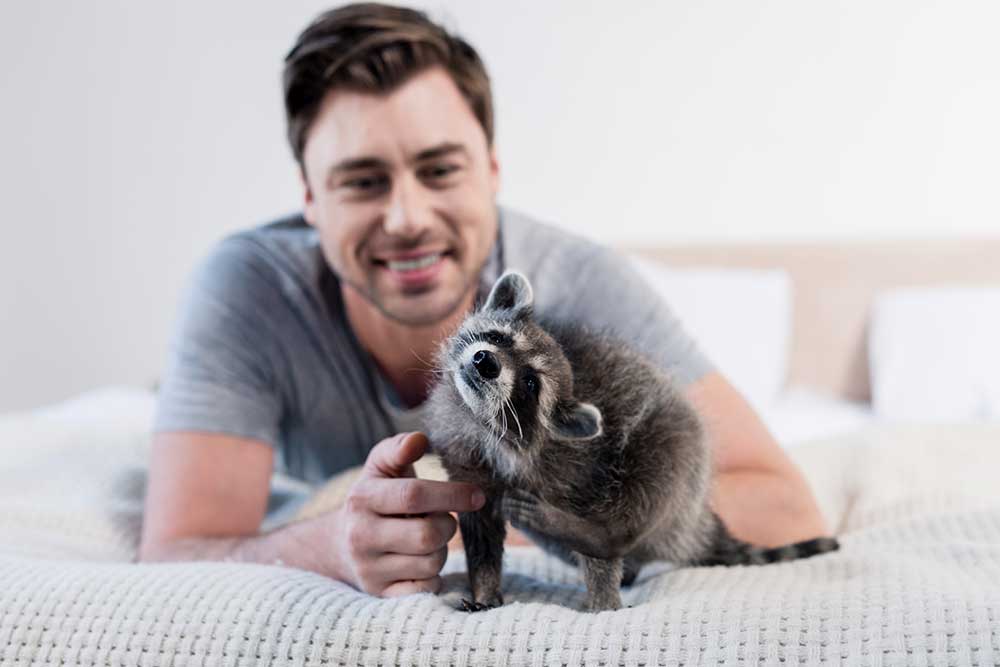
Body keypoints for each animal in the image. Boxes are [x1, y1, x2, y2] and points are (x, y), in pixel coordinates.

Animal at [425, 270, 839, 612]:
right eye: (498, 337)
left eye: (529, 383)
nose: (485, 361)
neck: (477, 420)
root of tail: (695, 521)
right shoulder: (464, 460)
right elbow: (481, 530)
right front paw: (485, 588)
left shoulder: (578, 467)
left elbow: (601, 544)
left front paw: (603, 598)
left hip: (679, 450)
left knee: (647, 483)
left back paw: (599, 534)